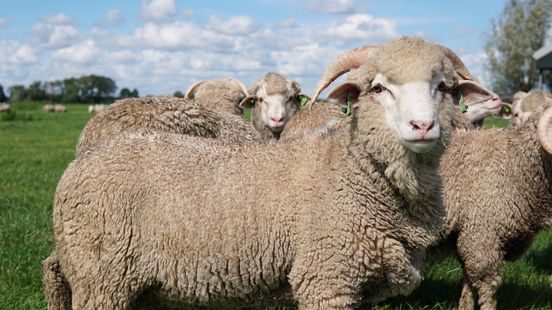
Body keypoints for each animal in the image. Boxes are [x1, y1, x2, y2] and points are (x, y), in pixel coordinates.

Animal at [46, 37, 462, 308]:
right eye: (377, 87)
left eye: (443, 87)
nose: (422, 125)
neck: (350, 171)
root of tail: (80, 161)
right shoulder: (325, 277)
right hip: (102, 277)